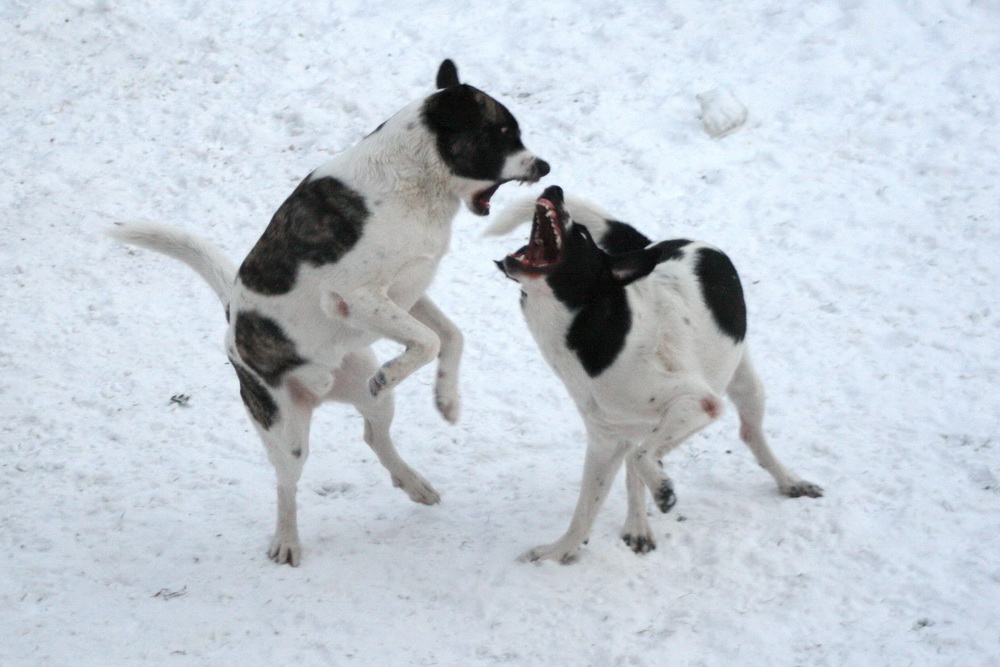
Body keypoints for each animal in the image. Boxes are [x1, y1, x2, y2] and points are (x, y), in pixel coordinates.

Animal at [110, 60, 552, 568]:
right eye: (502, 133)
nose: (544, 166)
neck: (416, 177)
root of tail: (232, 322)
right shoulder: (358, 297)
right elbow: (430, 341)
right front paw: (399, 372)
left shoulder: (407, 292)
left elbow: (451, 337)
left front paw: (447, 400)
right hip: (283, 427)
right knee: (286, 483)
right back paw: (287, 540)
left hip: (364, 388)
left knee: (375, 437)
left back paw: (413, 482)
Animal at [488, 187, 824, 564]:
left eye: (583, 235)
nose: (554, 190)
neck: (590, 325)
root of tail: (664, 244)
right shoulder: (605, 439)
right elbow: (586, 509)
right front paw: (558, 552)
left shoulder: (698, 402)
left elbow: (639, 459)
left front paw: (663, 491)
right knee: (639, 461)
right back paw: (638, 526)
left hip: (743, 384)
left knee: (749, 435)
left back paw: (789, 481)